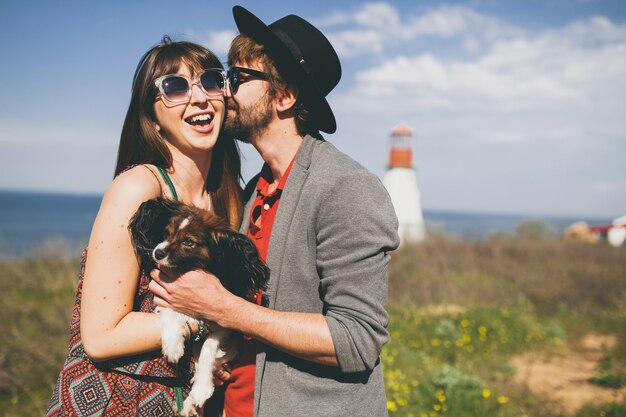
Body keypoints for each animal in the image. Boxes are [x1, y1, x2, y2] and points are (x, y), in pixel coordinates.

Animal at [129, 198, 268, 416]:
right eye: (166, 233)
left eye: (188, 242)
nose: (158, 252)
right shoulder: (165, 296)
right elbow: (170, 314)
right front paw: (173, 345)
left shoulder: (224, 327)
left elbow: (208, 350)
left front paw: (201, 388)